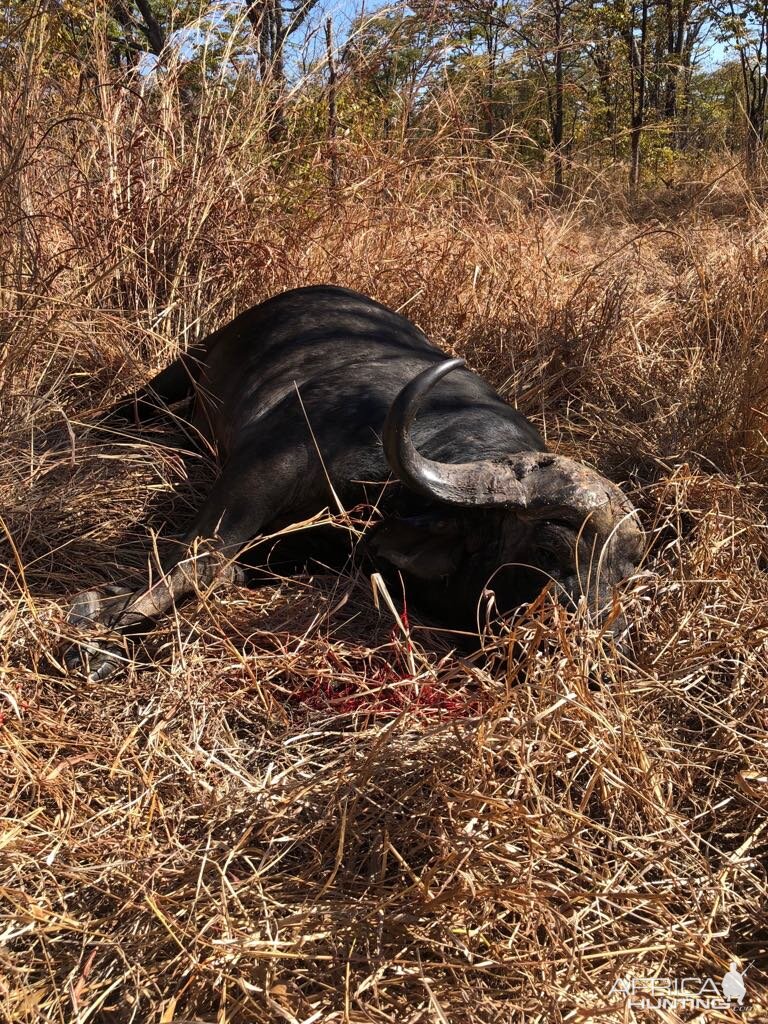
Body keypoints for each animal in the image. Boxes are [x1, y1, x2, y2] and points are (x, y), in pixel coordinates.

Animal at [66, 284, 647, 679]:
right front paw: (104, 630)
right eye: (551, 545)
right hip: (184, 367)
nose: (604, 651)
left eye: (625, 577)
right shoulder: (261, 468)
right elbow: (199, 555)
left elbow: (228, 568)